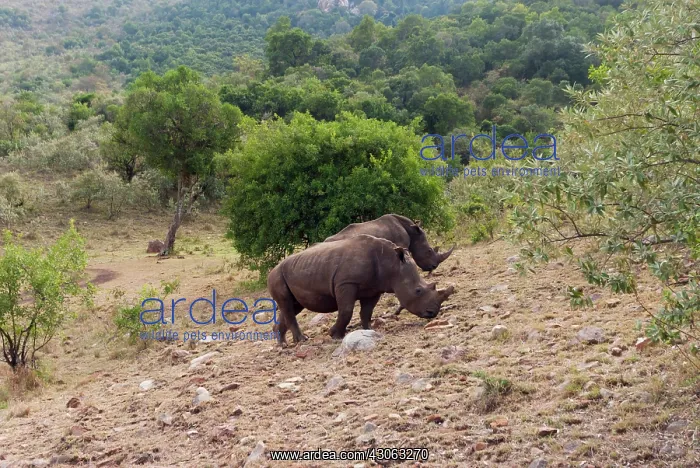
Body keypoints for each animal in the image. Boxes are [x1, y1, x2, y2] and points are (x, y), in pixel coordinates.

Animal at [268, 234, 456, 345]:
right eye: (418, 290)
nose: (432, 313)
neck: (393, 265)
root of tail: (271, 271)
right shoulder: (346, 283)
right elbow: (346, 310)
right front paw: (335, 335)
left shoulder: (374, 288)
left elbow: (367, 311)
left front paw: (368, 330)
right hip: (276, 277)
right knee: (287, 305)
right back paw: (301, 341)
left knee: (293, 306)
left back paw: (283, 344)